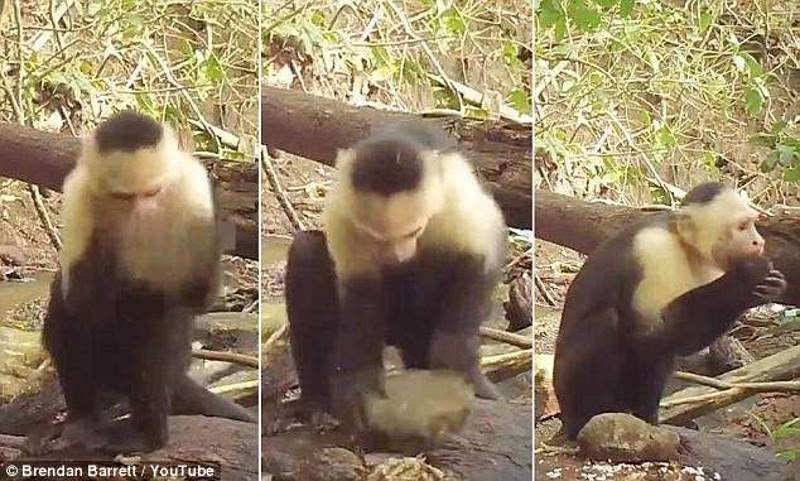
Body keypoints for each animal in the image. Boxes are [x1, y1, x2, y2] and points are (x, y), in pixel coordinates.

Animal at [28, 110, 253, 452]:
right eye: (123, 197)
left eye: (151, 193)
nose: (141, 216)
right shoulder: (79, 196)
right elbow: (82, 301)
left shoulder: (194, 190)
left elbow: (197, 296)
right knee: (69, 324)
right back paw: (83, 423)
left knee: (156, 335)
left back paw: (149, 433)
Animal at [282, 120, 506, 438]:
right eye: (376, 238)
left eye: (413, 231)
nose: (397, 258)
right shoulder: (343, 211)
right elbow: (360, 295)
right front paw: (358, 387)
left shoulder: (457, 195)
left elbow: (477, 260)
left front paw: (459, 366)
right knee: (306, 252)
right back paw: (314, 401)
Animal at [552, 182, 784, 440]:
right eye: (742, 227)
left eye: (752, 224)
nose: (759, 242)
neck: (684, 245)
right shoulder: (654, 249)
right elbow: (648, 334)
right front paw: (749, 278)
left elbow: (678, 340)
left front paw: (764, 288)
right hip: (565, 387)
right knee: (607, 322)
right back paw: (588, 420)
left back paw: (643, 417)